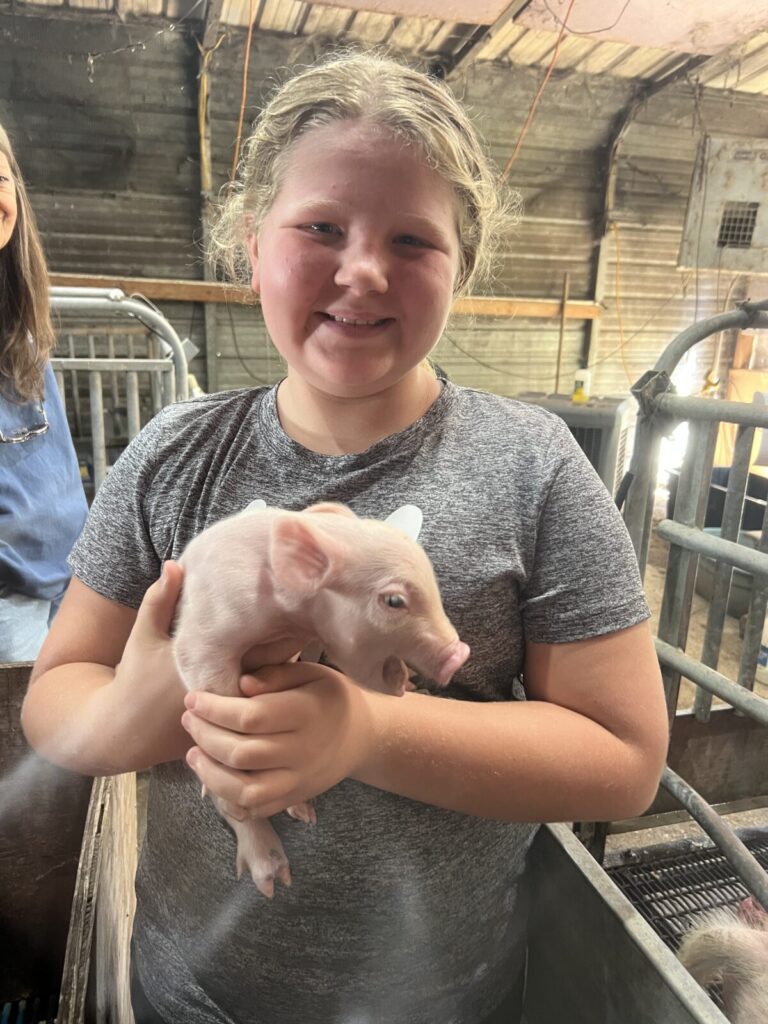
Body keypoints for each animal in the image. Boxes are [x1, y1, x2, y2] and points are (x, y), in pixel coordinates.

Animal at [173, 501, 470, 897]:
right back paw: (273, 879)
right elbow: (204, 672)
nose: (460, 653)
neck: (287, 615)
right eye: (394, 601)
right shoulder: (208, 627)